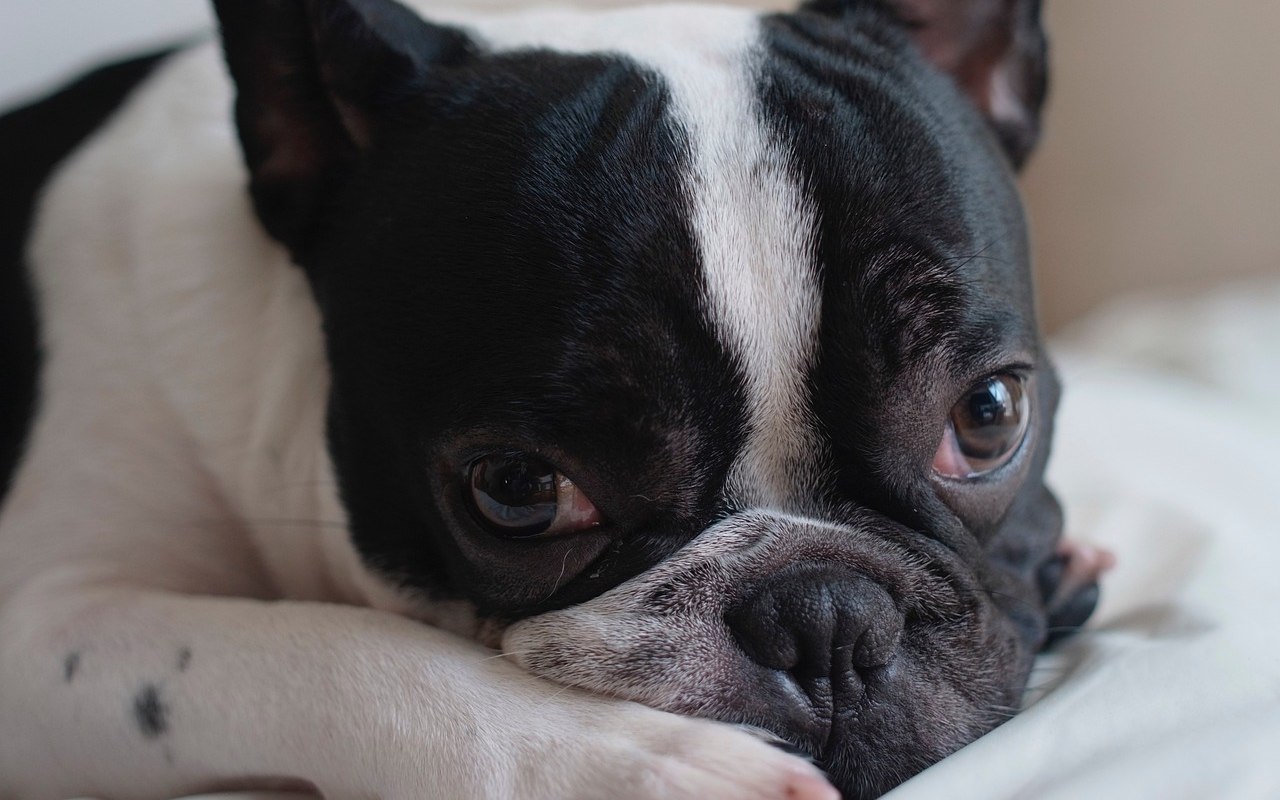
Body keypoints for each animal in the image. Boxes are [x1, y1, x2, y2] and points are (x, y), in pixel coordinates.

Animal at [0, 1, 1111, 798]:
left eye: (985, 416)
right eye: (520, 488)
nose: (825, 616)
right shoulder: (48, 627)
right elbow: (331, 651)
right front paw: (630, 764)